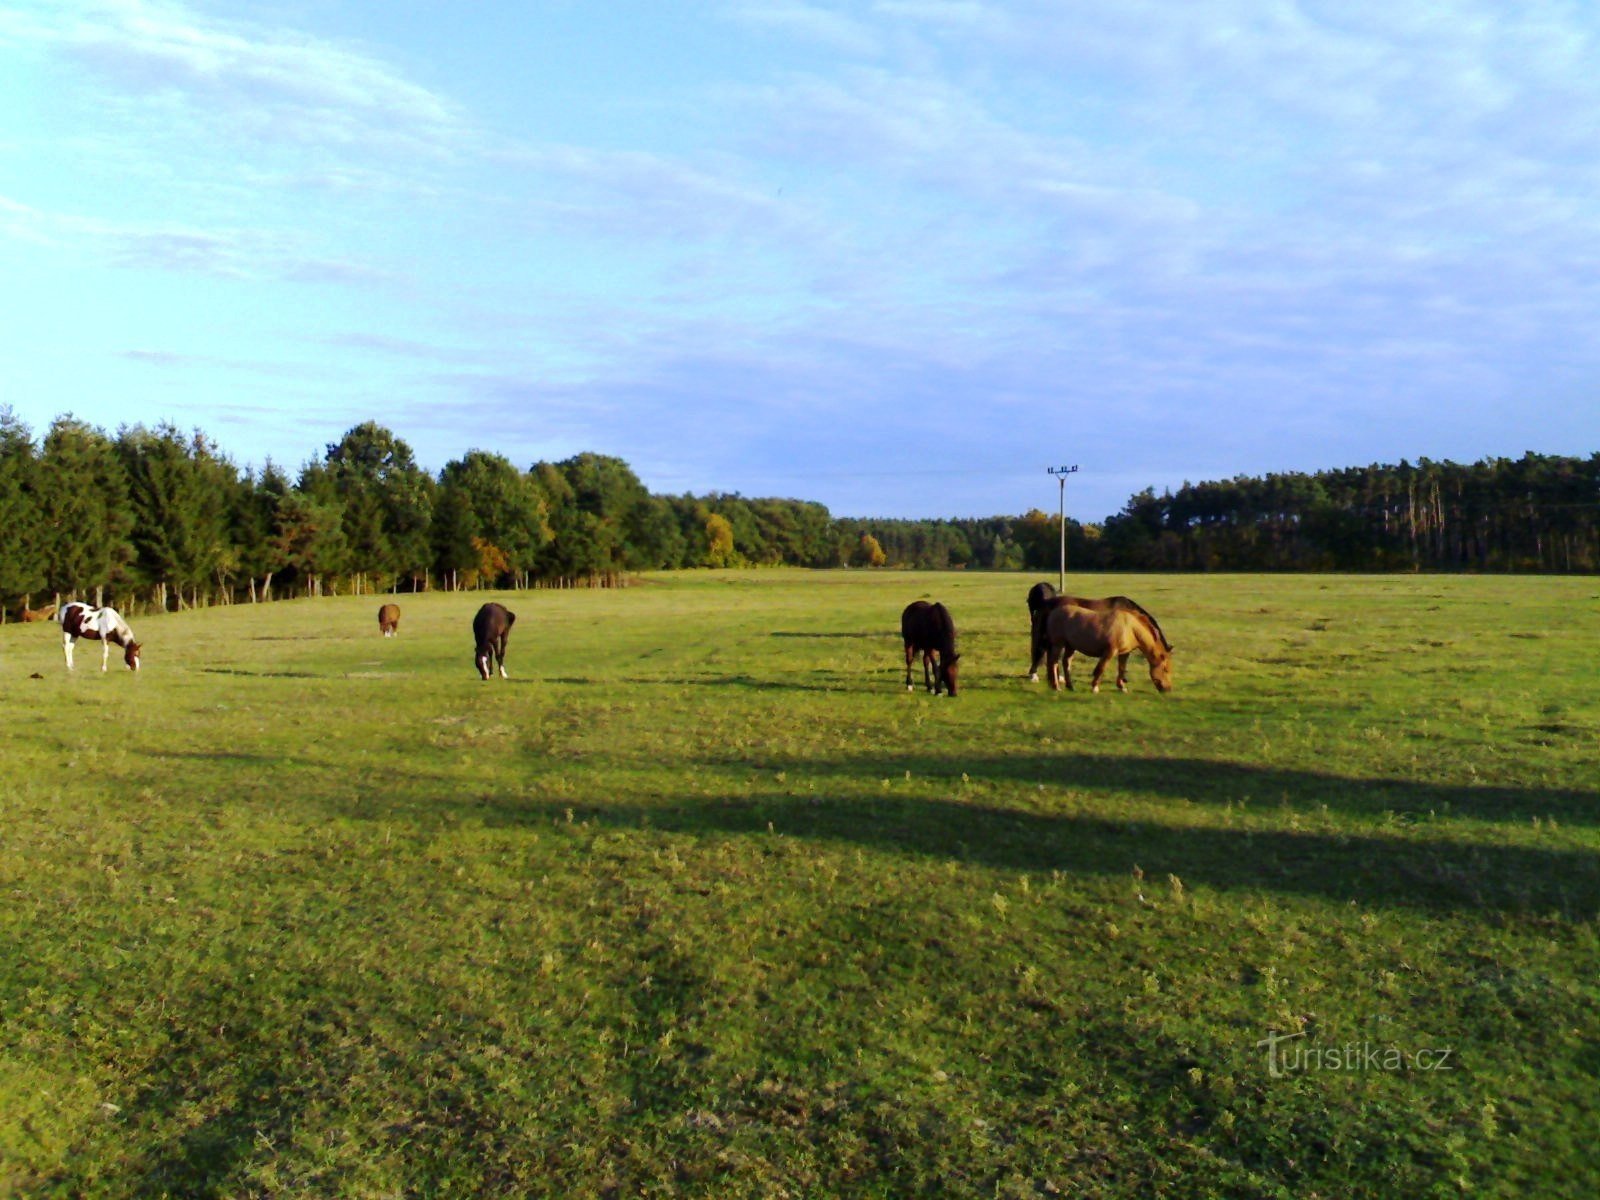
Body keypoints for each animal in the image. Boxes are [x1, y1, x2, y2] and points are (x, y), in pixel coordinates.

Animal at [1043, 604, 1171, 700]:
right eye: (1165, 669)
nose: (1168, 689)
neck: (1130, 628)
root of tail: (1053, 612)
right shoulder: (1110, 652)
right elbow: (1101, 668)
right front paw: (1095, 687)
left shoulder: (1124, 653)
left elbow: (1121, 669)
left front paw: (1122, 687)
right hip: (1058, 644)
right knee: (1053, 663)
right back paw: (1056, 687)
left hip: (1070, 647)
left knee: (1066, 663)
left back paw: (1070, 686)